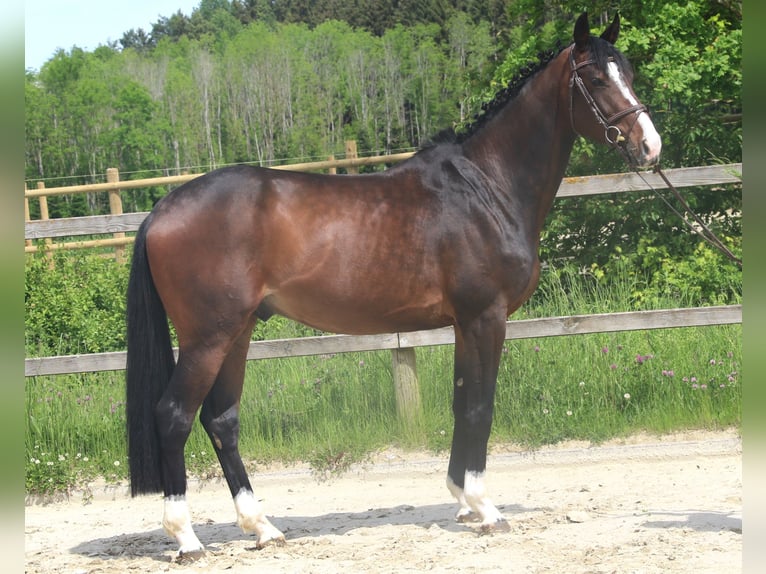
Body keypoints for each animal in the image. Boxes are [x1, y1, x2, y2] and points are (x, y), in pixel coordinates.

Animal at [124, 11, 660, 556]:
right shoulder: (485, 317)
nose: (649, 146)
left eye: (629, 72)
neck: (485, 188)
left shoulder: (463, 324)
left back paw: (262, 527)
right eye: (596, 79)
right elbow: (480, 407)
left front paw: (462, 499)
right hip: (208, 338)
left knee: (221, 421)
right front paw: (486, 508)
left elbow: (461, 403)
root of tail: (162, 210)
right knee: (174, 416)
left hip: (238, 332)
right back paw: (187, 538)